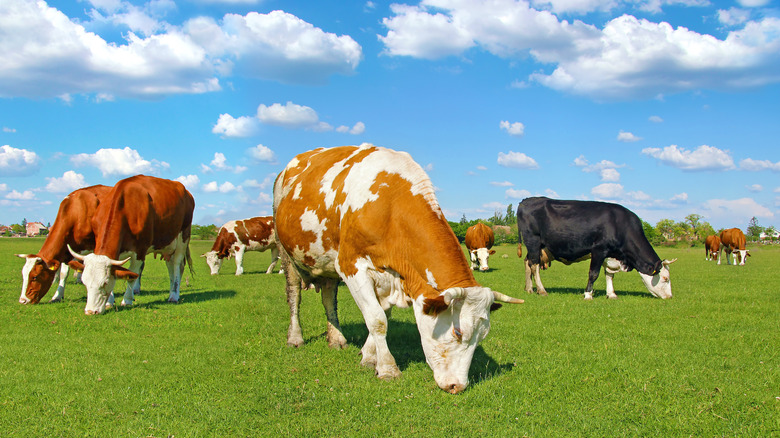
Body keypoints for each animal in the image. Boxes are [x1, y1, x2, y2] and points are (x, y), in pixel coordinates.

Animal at [68, 175, 193, 314]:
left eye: (104, 283)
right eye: (84, 281)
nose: (90, 311)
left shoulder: (140, 251)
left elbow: (133, 275)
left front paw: (126, 300)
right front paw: (110, 302)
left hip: (183, 237)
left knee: (177, 265)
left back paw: (174, 295)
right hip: (167, 246)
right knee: (170, 266)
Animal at [274, 144, 524, 394]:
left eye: (482, 336)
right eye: (458, 332)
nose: (458, 386)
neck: (389, 207)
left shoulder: (391, 277)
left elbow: (381, 314)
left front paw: (369, 357)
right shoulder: (351, 266)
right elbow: (377, 320)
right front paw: (387, 369)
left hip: (326, 264)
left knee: (328, 299)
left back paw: (336, 339)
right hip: (286, 251)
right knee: (294, 295)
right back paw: (295, 338)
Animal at [516, 197, 672, 300]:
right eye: (665, 278)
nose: (670, 297)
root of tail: (526, 200)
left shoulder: (610, 254)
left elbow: (609, 274)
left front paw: (611, 294)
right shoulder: (599, 250)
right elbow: (594, 273)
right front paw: (588, 294)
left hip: (537, 247)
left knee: (527, 262)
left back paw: (529, 288)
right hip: (533, 240)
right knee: (534, 265)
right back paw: (541, 290)